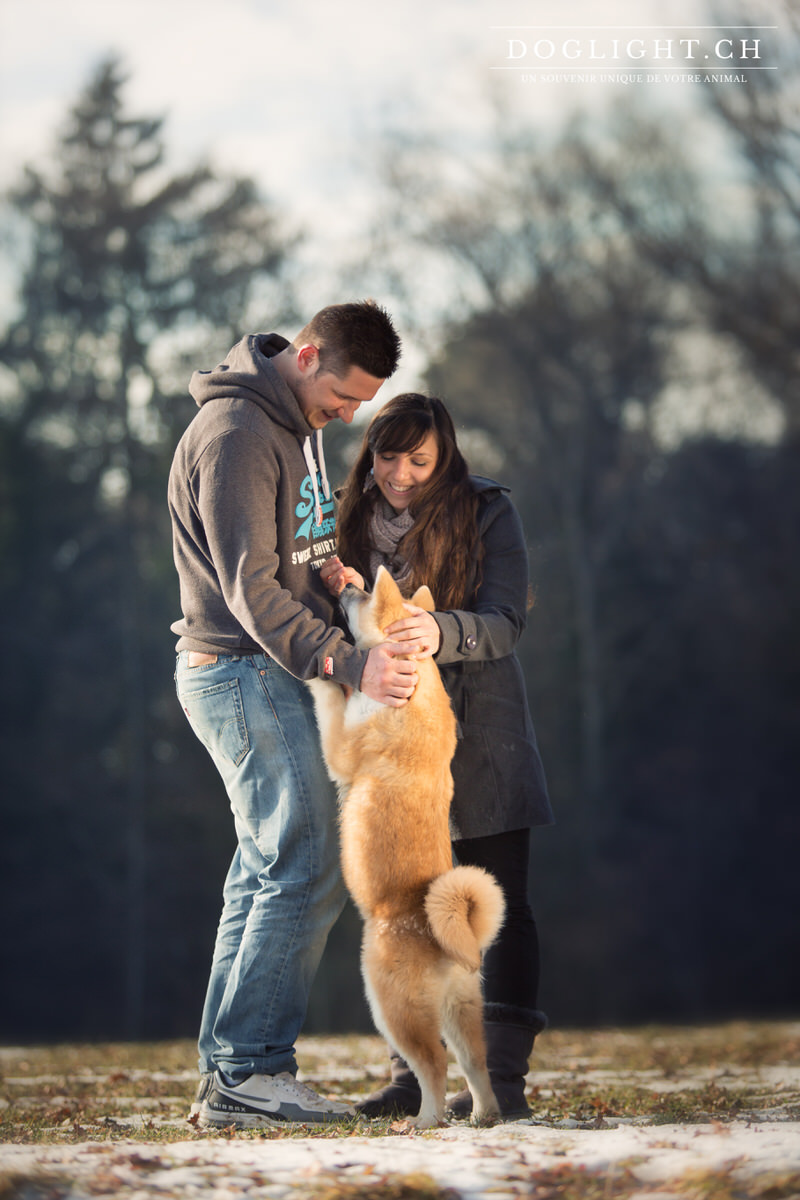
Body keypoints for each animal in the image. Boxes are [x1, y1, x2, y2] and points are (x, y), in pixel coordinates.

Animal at [309, 566, 506, 1128]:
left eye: (365, 597)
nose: (346, 583)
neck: (413, 679)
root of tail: (443, 935)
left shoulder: (340, 748)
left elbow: (330, 706)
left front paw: (322, 673)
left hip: (389, 1004)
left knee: (433, 1067)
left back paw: (422, 1121)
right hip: (462, 1011)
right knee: (475, 1064)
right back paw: (482, 1116)